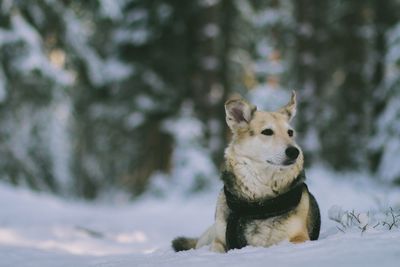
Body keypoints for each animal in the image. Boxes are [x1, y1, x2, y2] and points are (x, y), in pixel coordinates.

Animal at [170, 91, 320, 253]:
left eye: (290, 133)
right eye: (267, 132)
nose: (294, 152)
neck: (258, 203)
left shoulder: (300, 237)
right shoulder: (219, 240)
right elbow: (216, 248)